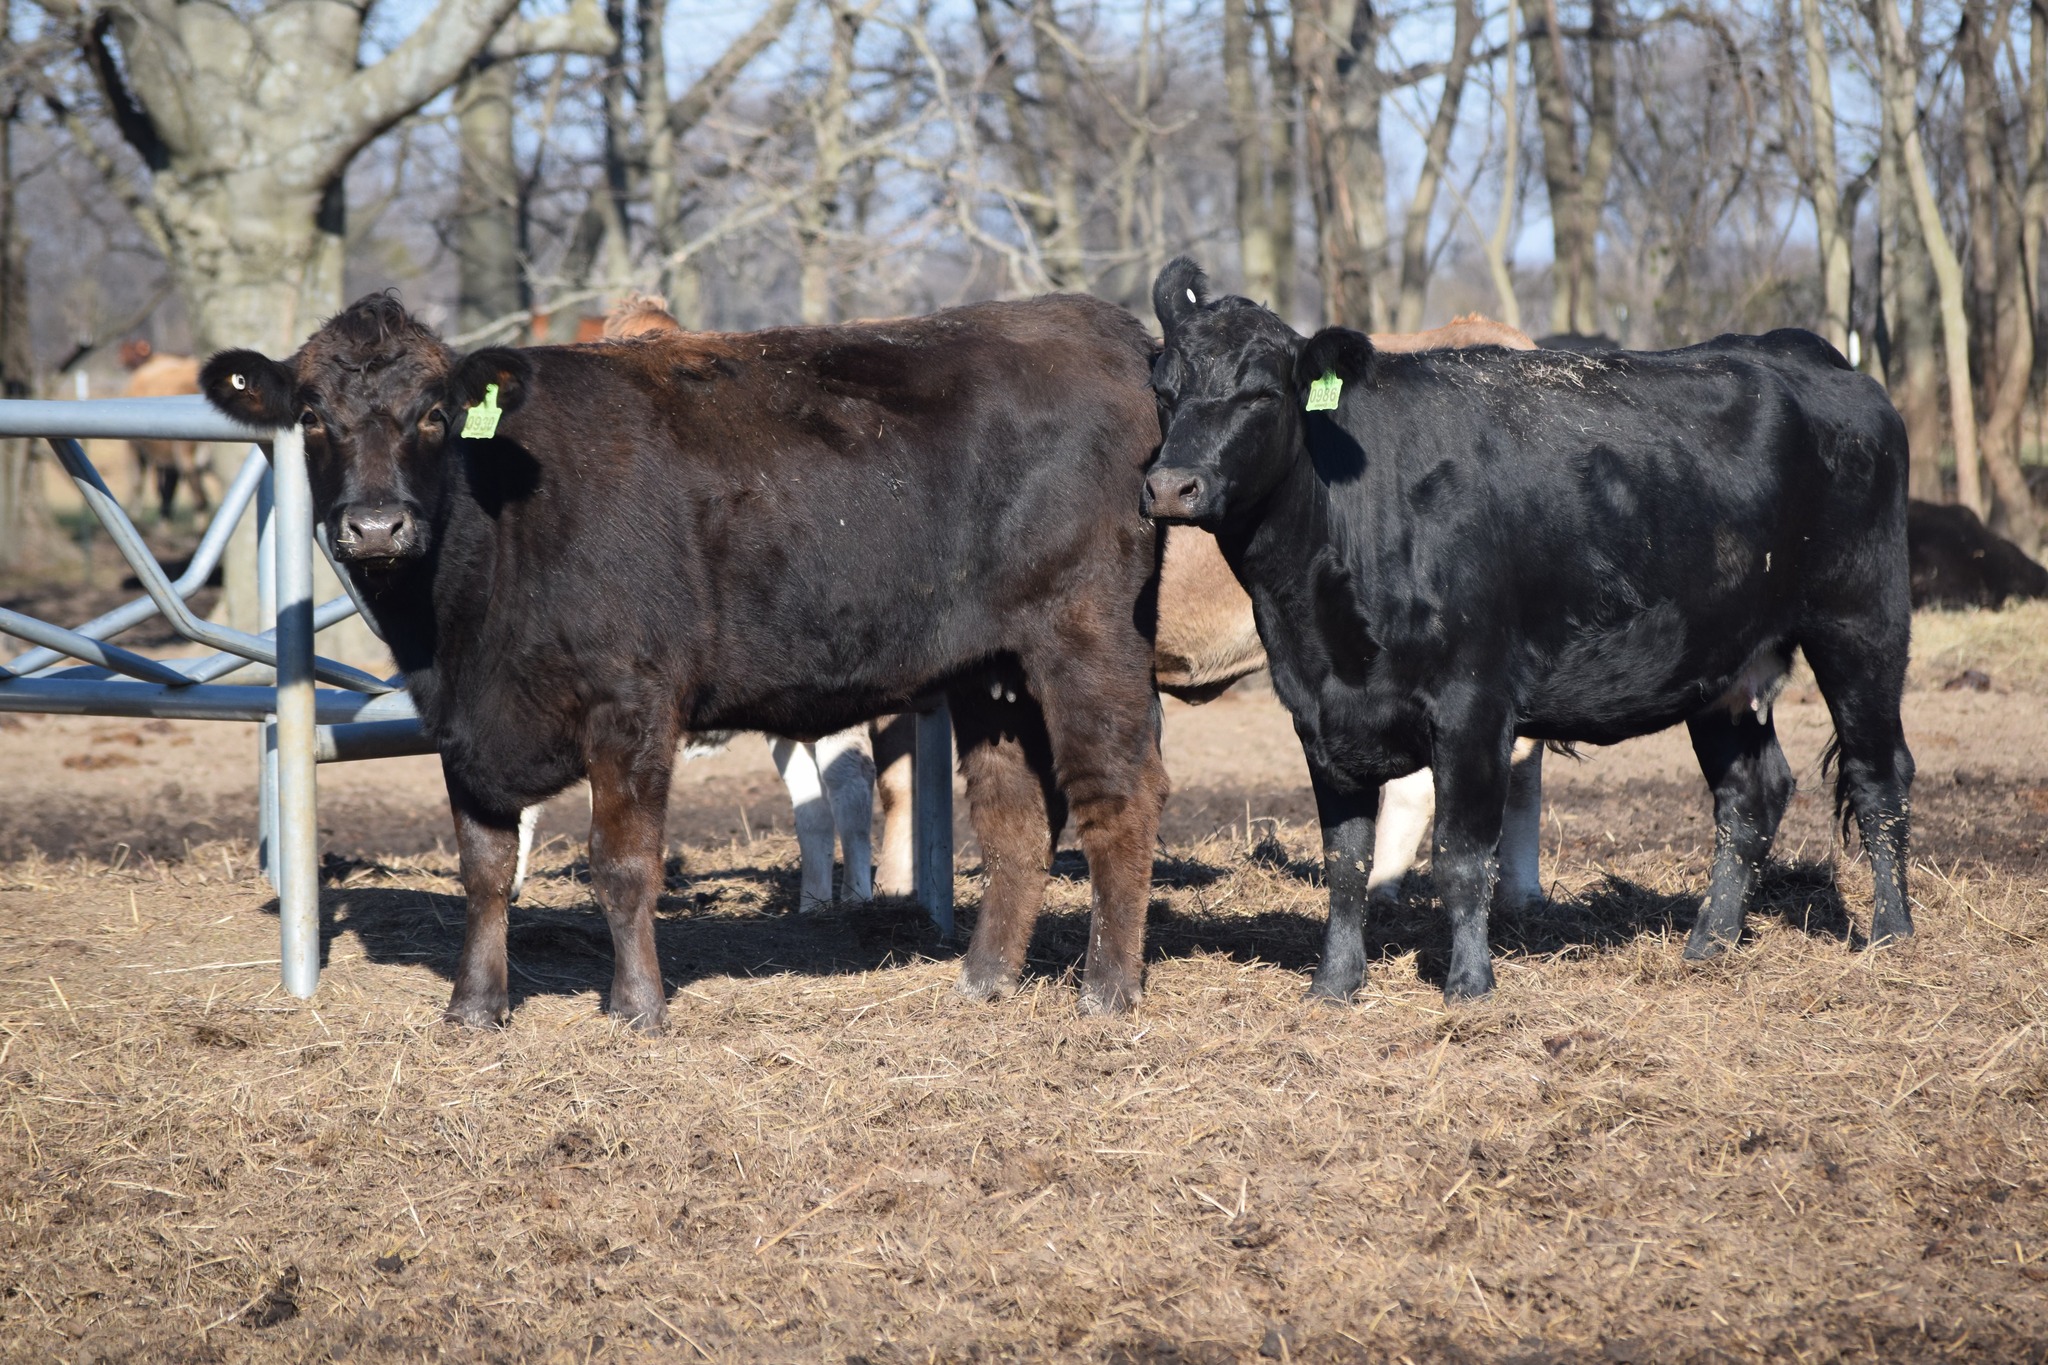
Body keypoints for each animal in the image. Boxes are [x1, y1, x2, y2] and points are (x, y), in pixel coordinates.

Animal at [202, 291, 1168, 1027]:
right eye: (312, 417)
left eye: (435, 413)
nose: (375, 525)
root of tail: (1101, 324)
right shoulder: (463, 726)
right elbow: (484, 868)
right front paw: (474, 1007)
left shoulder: (631, 702)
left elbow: (623, 865)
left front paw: (637, 1005)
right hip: (993, 667)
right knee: (1015, 820)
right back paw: (983, 979)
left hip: (1087, 637)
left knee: (1119, 796)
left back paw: (1107, 990)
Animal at [1143, 258, 1914, 1003]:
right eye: (1164, 390)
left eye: (1261, 394)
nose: (1170, 486)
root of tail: (1804, 351)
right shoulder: (1319, 712)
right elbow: (1345, 860)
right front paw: (1333, 984)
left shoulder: (1474, 702)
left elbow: (1459, 856)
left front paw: (1469, 985)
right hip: (1726, 661)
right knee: (1752, 792)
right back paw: (1710, 942)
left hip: (1862, 623)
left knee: (1879, 774)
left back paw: (1890, 935)